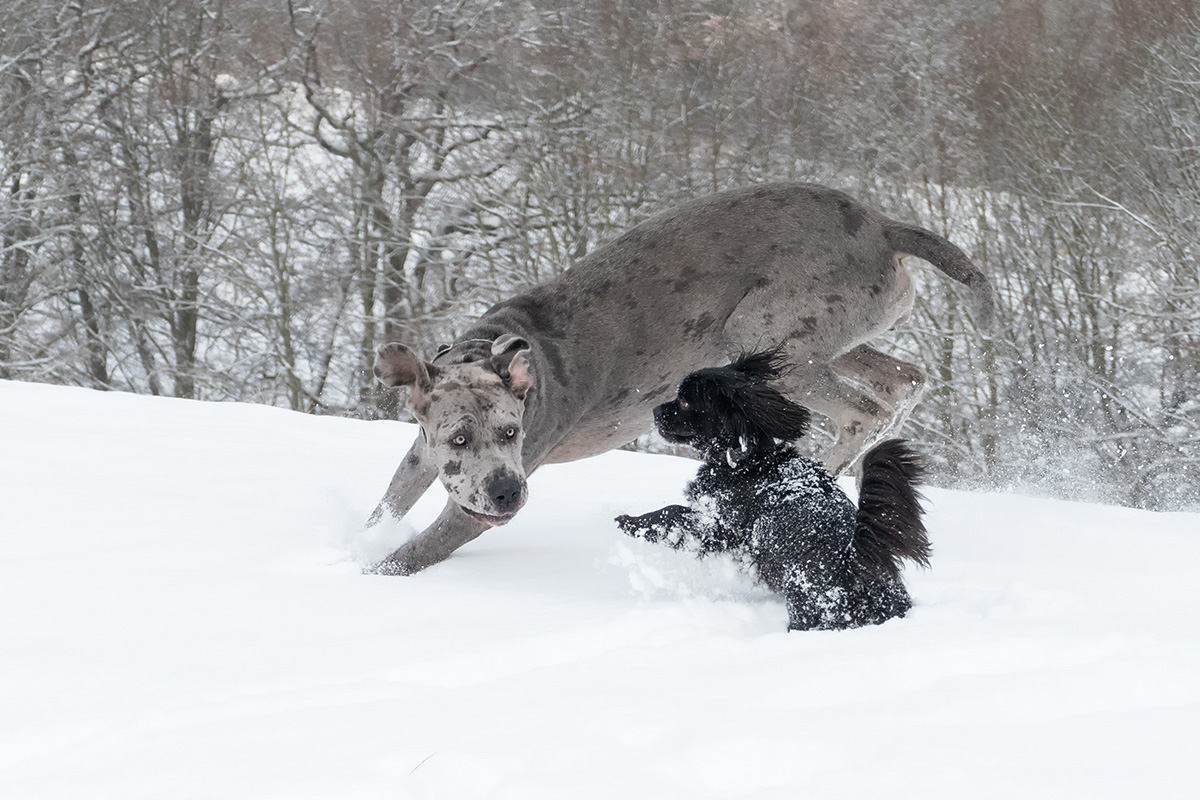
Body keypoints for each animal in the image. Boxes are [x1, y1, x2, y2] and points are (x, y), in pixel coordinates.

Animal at [614, 350, 931, 633]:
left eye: (683, 401)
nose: (655, 411)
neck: (747, 459)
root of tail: (855, 565)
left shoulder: (718, 526)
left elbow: (672, 514)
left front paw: (631, 523)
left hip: (807, 604)